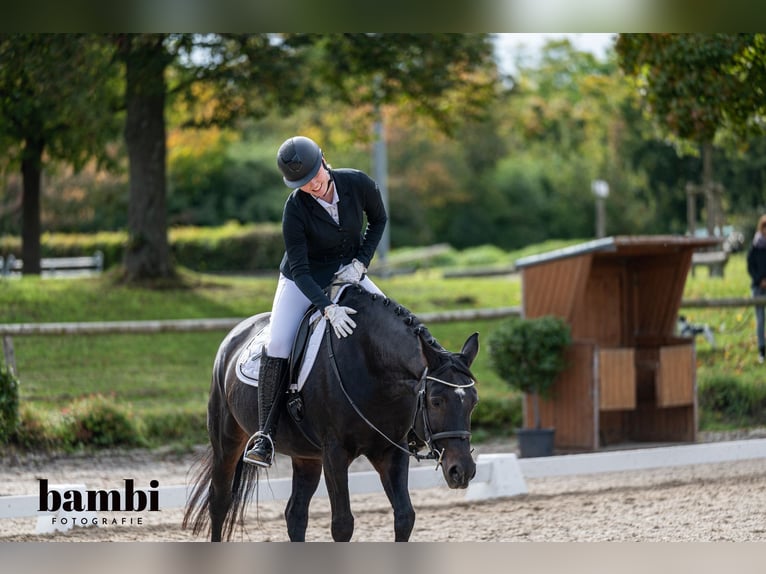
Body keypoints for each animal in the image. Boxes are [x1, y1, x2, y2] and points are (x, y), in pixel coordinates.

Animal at [183, 284, 480, 542]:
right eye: (436, 401)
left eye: (473, 402)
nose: (462, 471)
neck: (373, 363)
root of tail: (236, 334)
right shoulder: (335, 453)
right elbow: (342, 525)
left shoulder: (391, 450)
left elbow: (405, 517)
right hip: (228, 439)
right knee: (220, 501)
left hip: (307, 456)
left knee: (295, 514)